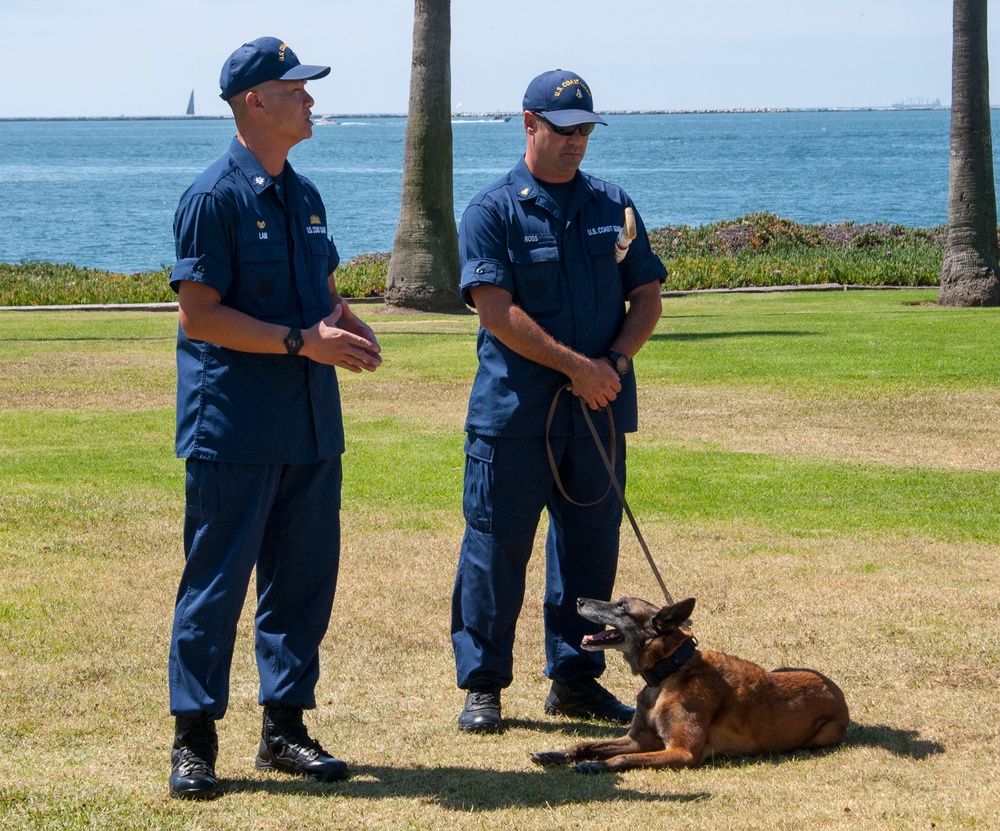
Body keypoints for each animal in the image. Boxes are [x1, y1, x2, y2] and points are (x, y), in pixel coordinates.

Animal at [528, 600, 848, 772]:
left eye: (621, 606)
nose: (579, 600)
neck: (670, 670)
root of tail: (838, 693)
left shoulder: (682, 752)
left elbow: (622, 758)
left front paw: (597, 765)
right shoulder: (638, 740)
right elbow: (587, 744)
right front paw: (555, 754)